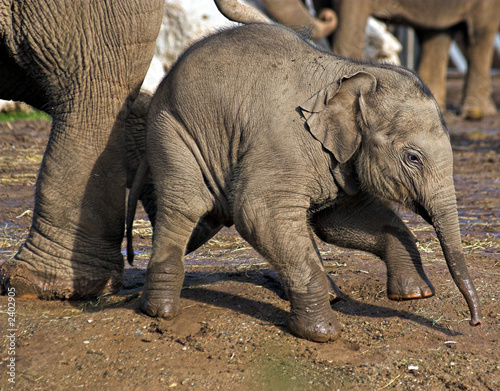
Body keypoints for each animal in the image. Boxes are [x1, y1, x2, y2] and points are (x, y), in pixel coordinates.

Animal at [127, 1, 482, 342]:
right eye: (413, 158)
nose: (474, 322)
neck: (352, 73)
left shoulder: (339, 159)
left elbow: (340, 221)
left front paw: (415, 294)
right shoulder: (284, 142)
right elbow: (258, 213)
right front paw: (322, 334)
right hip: (174, 131)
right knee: (186, 205)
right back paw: (160, 311)